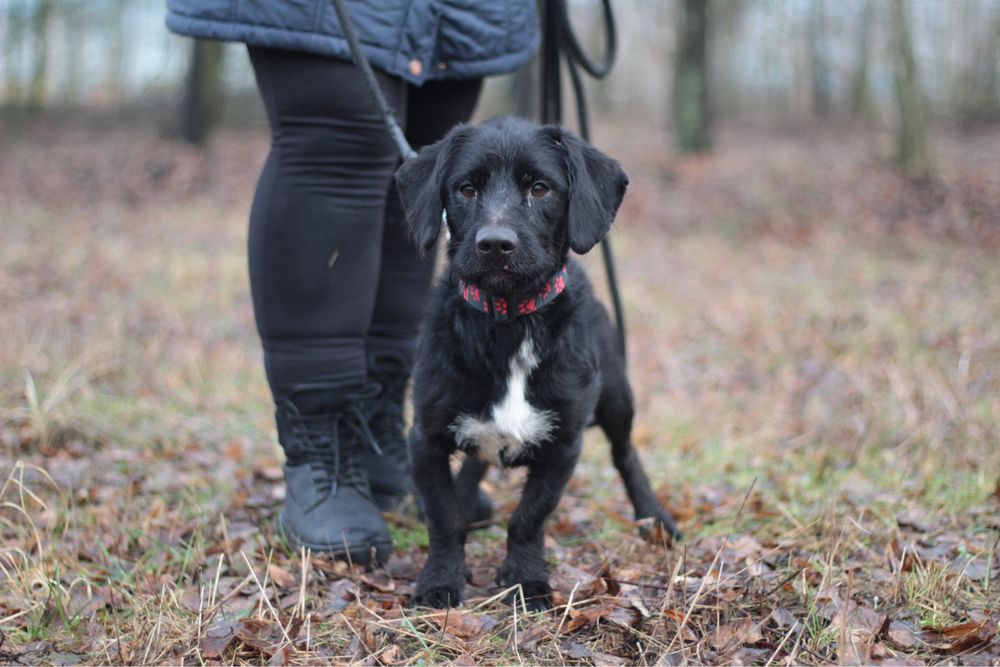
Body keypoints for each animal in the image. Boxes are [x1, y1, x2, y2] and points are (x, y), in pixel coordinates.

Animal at [394, 116, 676, 612]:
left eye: (540, 188)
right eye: (466, 188)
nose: (495, 244)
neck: (507, 323)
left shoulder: (562, 446)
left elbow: (529, 517)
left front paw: (526, 580)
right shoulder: (424, 438)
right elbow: (443, 517)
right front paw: (440, 581)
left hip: (617, 397)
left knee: (625, 453)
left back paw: (653, 516)